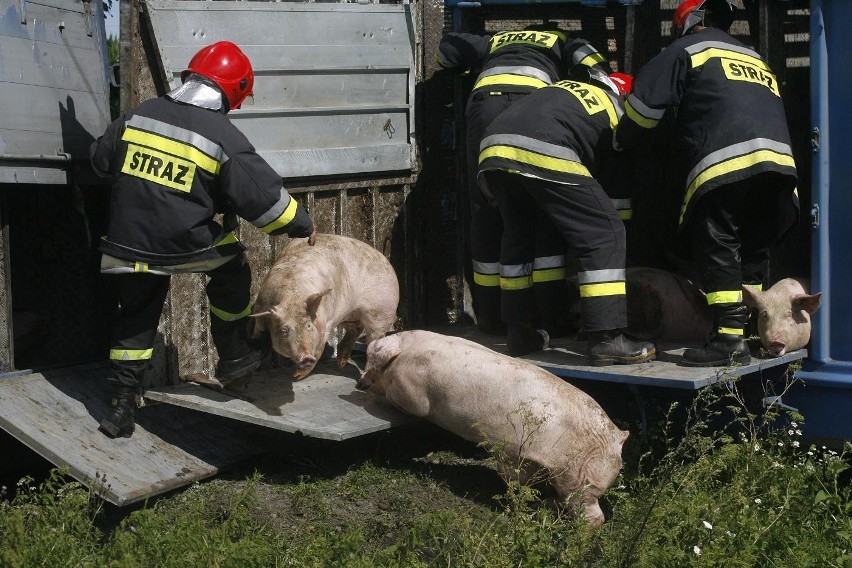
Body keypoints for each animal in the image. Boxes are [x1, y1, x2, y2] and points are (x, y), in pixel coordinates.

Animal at [251, 233, 402, 380]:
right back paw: (341, 363)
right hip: (350, 316)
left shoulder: (325, 325)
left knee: (373, 341)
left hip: (381, 311)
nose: (306, 358)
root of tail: (387, 261)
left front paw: (297, 377)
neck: (292, 297)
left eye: (309, 325)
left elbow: (319, 350)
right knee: (356, 329)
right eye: (284, 330)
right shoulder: (260, 306)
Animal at [356, 328, 628, 528]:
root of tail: (617, 437)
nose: (359, 383)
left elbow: (410, 404)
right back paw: (548, 505)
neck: (408, 349)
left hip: (579, 478)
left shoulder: (412, 390)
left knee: (591, 515)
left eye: (370, 358)